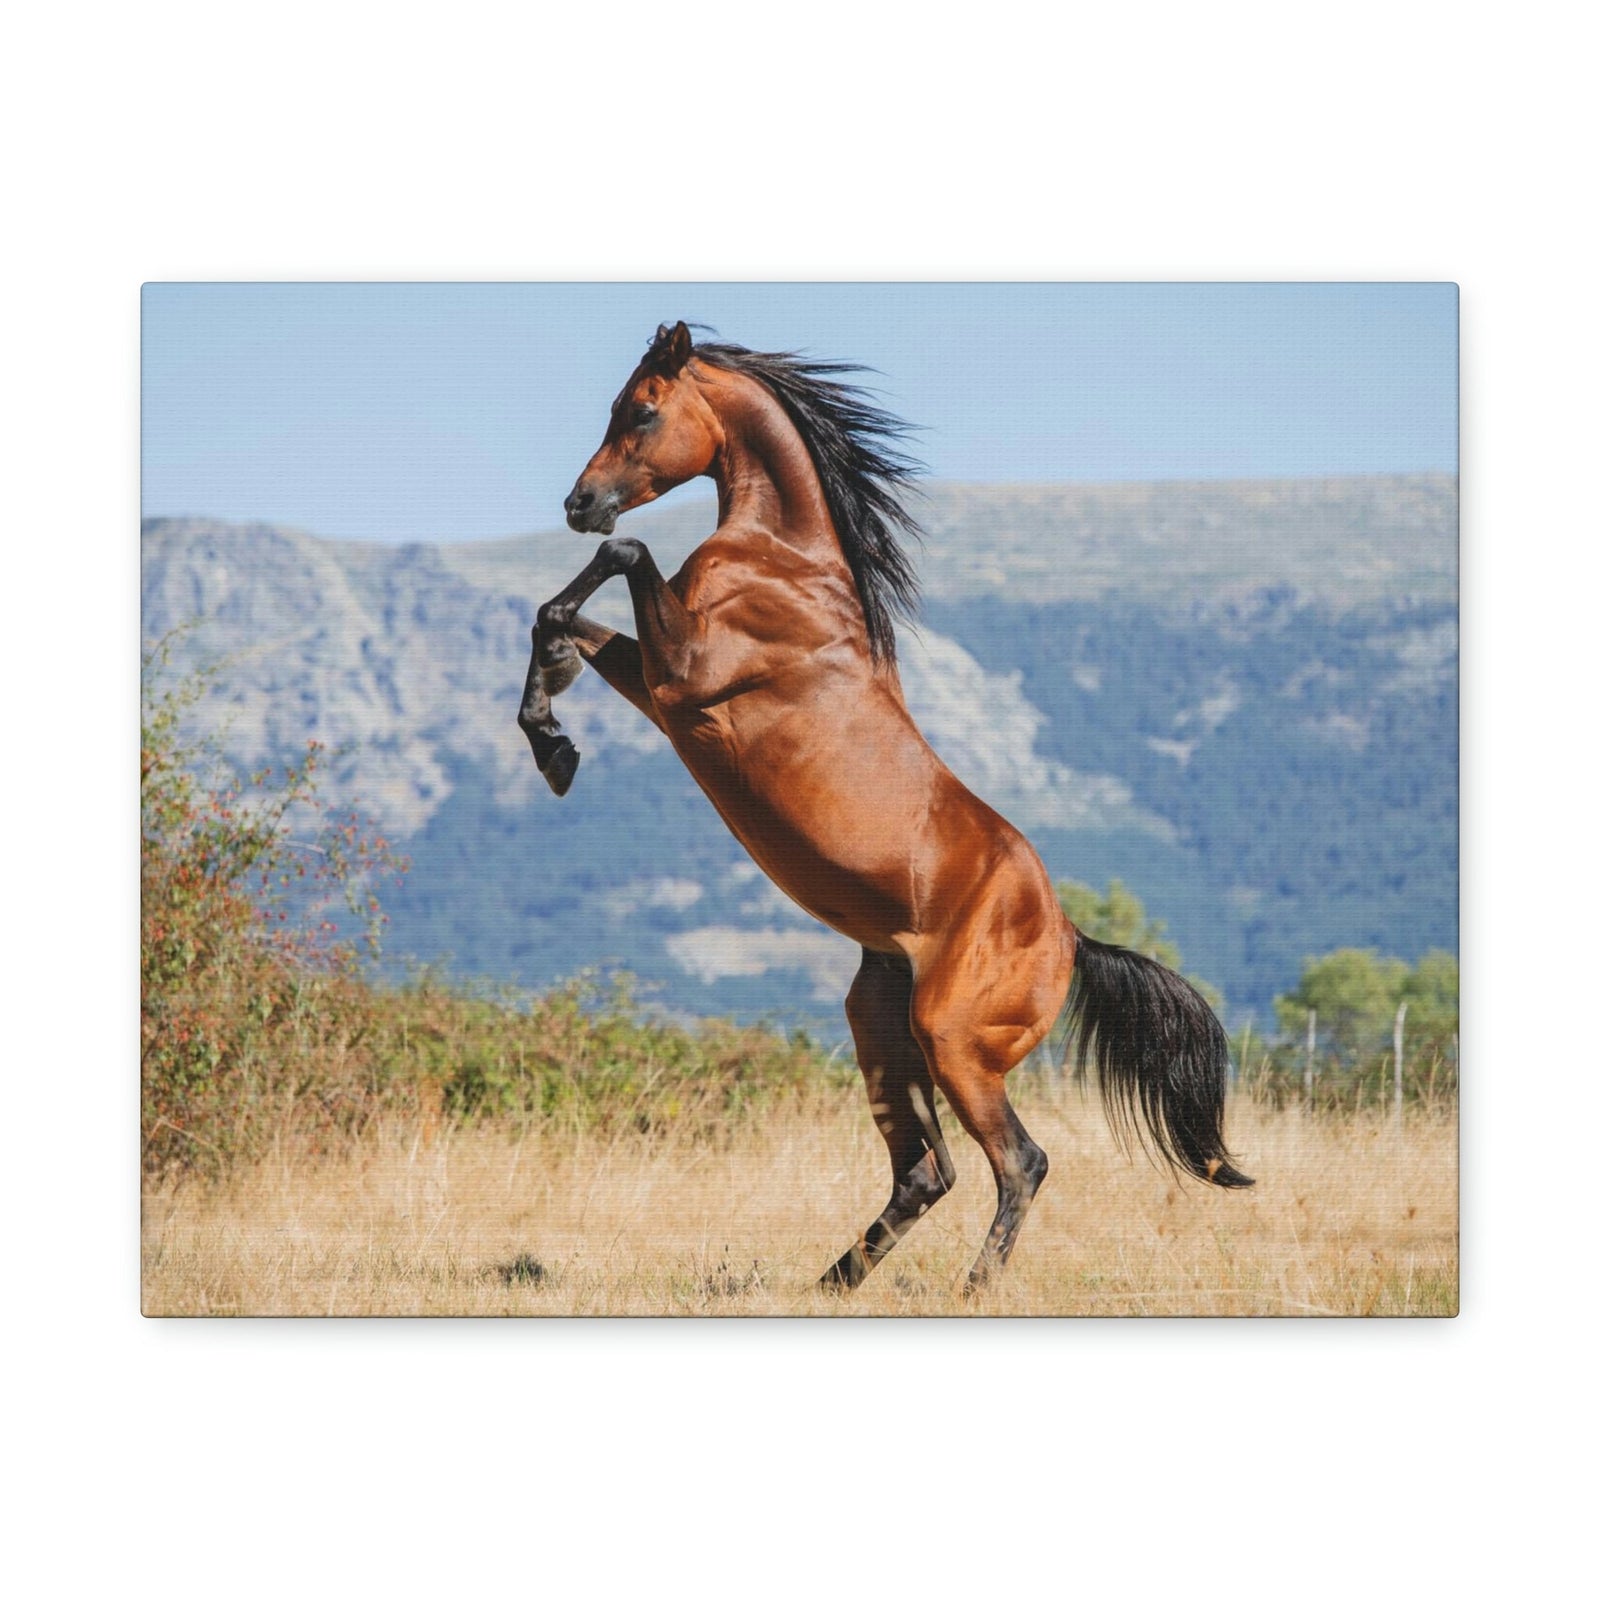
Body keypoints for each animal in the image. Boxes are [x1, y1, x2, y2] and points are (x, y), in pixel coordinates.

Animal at [517, 321, 1251, 1295]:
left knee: (1018, 1161)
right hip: (882, 1026)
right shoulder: (667, 689)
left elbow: (621, 559)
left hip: (953, 1041)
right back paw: (831, 1282)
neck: (786, 564)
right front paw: (553, 740)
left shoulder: (688, 676)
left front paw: (554, 732)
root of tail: (1068, 936)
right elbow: (558, 616)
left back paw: (972, 1288)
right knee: (925, 1171)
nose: (579, 503)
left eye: (641, 409)